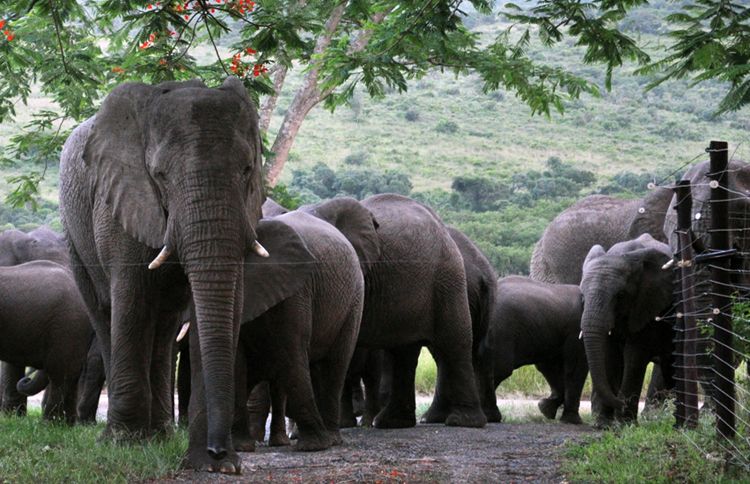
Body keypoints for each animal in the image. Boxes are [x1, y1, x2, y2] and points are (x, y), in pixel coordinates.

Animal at [0, 260, 93, 422]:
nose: (26, 380)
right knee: (69, 375)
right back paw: (64, 424)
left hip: (67, 326)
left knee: (60, 374)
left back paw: (51, 423)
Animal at [61, 78, 268, 472]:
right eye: (159, 176)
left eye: (248, 170)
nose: (220, 450)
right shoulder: (120, 201)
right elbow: (130, 300)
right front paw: (124, 443)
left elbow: (222, 307)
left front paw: (211, 465)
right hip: (73, 233)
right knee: (105, 312)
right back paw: (124, 436)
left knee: (165, 324)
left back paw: (159, 434)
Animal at [234, 210, 366, 452]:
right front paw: (241, 447)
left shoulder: (296, 290)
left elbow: (291, 350)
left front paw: (313, 447)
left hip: (354, 299)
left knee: (335, 364)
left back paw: (330, 439)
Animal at [478, 276, 592, 424]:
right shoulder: (575, 329)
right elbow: (576, 367)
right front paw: (572, 421)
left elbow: (549, 367)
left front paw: (545, 410)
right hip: (501, 331)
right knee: (499, 369)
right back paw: (491, 417)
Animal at [580, 236, 680, 426]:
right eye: (582, 296)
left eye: (620, 295)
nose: (620, 402)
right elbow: (609, 355)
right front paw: (604, 425)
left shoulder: (647, 303)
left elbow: (634, 356)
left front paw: (625, 425)